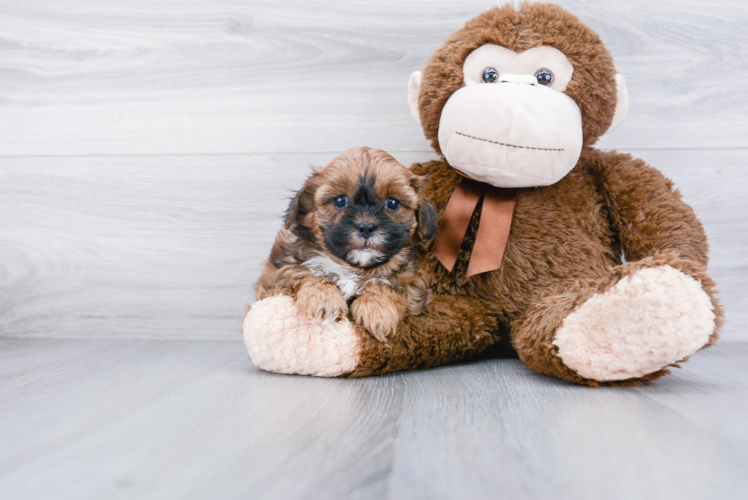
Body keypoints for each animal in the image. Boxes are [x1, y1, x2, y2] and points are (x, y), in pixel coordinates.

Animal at [256, 146, 438, 342]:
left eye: (392, 203)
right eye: (340, 201)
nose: (366, 227)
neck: (353, 269)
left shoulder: (414, 282)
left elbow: (384, 284)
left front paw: (377, 308)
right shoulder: (276, 277)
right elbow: (304, 271)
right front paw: (322, 298)